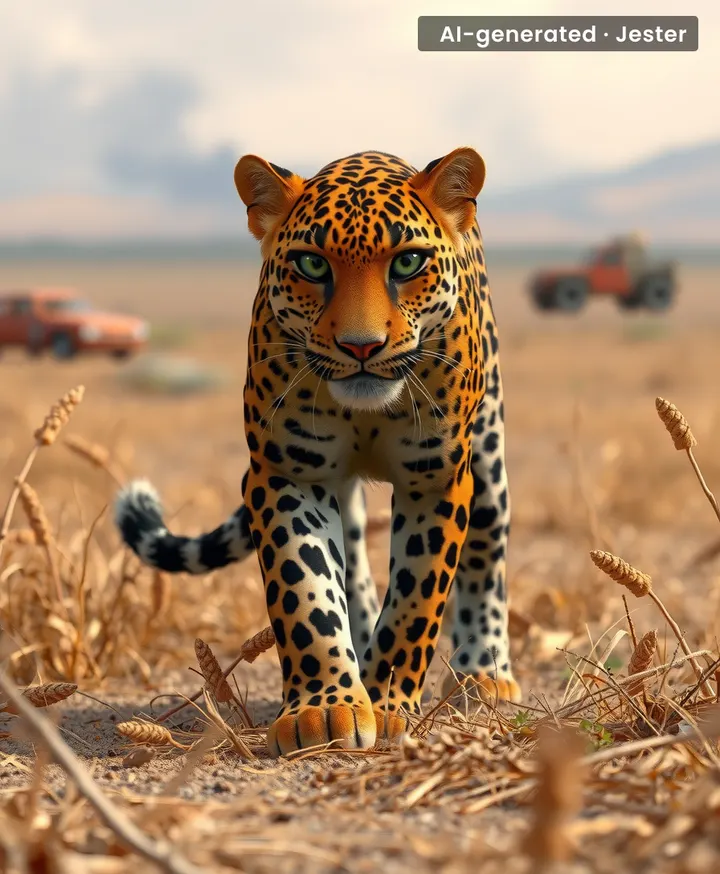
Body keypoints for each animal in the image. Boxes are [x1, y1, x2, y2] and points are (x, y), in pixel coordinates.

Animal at [115, 146, 521, 757]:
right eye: (311, 265)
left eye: (407, 263)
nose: (361, 347)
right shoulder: (287, 473)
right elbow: (305, 592)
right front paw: (328, 707)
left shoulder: (435, 478)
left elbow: (416, 602)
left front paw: (387, 703)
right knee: (352, 560)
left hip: (488, 452)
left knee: (486, 549)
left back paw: (483, 673)